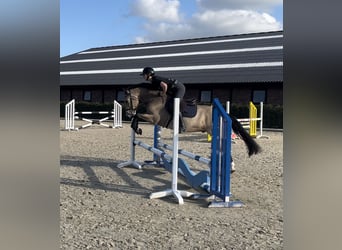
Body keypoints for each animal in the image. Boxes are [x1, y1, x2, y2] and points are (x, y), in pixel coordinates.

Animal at [124, 84, 260, 159]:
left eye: (127, 100)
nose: (128, 113)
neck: (154, 98)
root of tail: (224, 113)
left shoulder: (154, 118)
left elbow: (138, 116)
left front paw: (138, 128)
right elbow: (137, 116)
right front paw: (137, 128)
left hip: (214, 130)